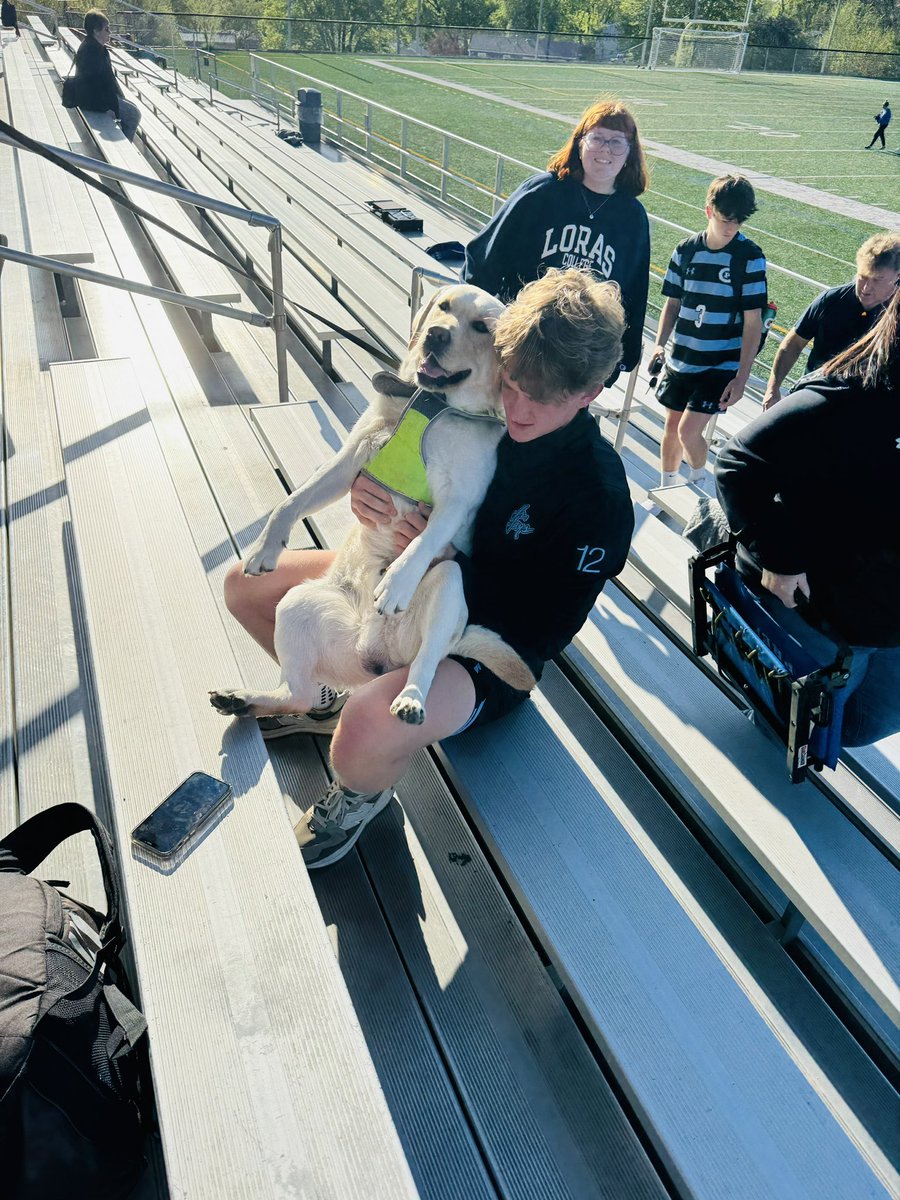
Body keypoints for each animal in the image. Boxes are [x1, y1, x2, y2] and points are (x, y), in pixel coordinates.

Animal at [211, 285, 535, 724]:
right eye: (444, 307)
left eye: (482, 328)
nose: (435, 334)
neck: (429, 404)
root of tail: (373, 652)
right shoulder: (349, 460)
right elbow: (293, 501)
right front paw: (265, 547)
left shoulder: (457, 499)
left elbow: (423, 541)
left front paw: (396, 582)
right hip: (296, 604)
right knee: (297, 694)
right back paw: (240, 698)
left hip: (447, 586)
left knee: (425, 662)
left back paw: (411, 699)